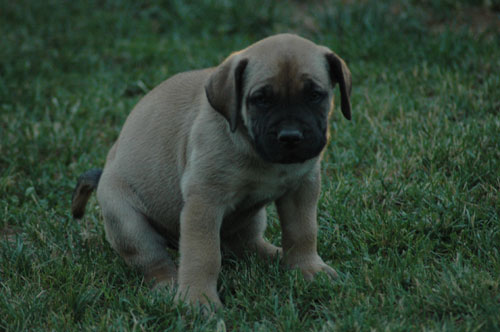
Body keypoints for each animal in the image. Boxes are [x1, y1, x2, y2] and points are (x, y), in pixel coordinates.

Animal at [72, 33, 354, 308]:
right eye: (261, 99)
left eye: (314, 95)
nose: (291, 136)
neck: (258, 153)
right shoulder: (204, 202)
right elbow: (203, 255)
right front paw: (197, 300)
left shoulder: (302, 189)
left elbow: (302, 231)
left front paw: (308, 268)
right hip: (128, 223)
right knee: (154, 260)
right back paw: (168, 285)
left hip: (251, 218)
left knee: (246, 243)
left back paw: (275, 256)